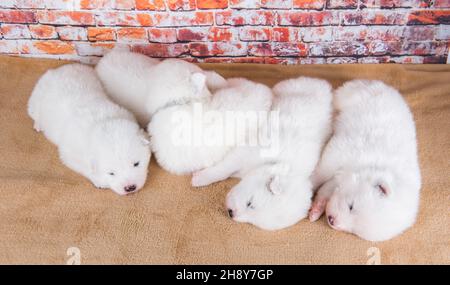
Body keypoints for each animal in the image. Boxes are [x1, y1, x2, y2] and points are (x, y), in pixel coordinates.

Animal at [27, 63, 151, 194]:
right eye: (111, 173)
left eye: (136, 164)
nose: (130, 187)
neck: (104, 122)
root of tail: (56, 70)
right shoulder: (71, 154)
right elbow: (85, 168)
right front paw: (99, 182)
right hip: (35, 100)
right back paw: (38, 125)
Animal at [192, 76, 332, 230]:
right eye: (250, 203)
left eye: (253, 222)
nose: (231, 213)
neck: (279, 163)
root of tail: (322, 85)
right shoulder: (245, 153)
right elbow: (223, 169)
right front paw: (200, 178)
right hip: (285, 88)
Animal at [310, 79, 422, 241]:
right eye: (351, 206)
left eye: (354, 232)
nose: (331, 221)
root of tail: (381, 85)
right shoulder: (340, 151)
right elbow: (320, 173)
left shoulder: (338, 180)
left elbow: (325, 190)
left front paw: (316, 210)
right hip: (350, 96)